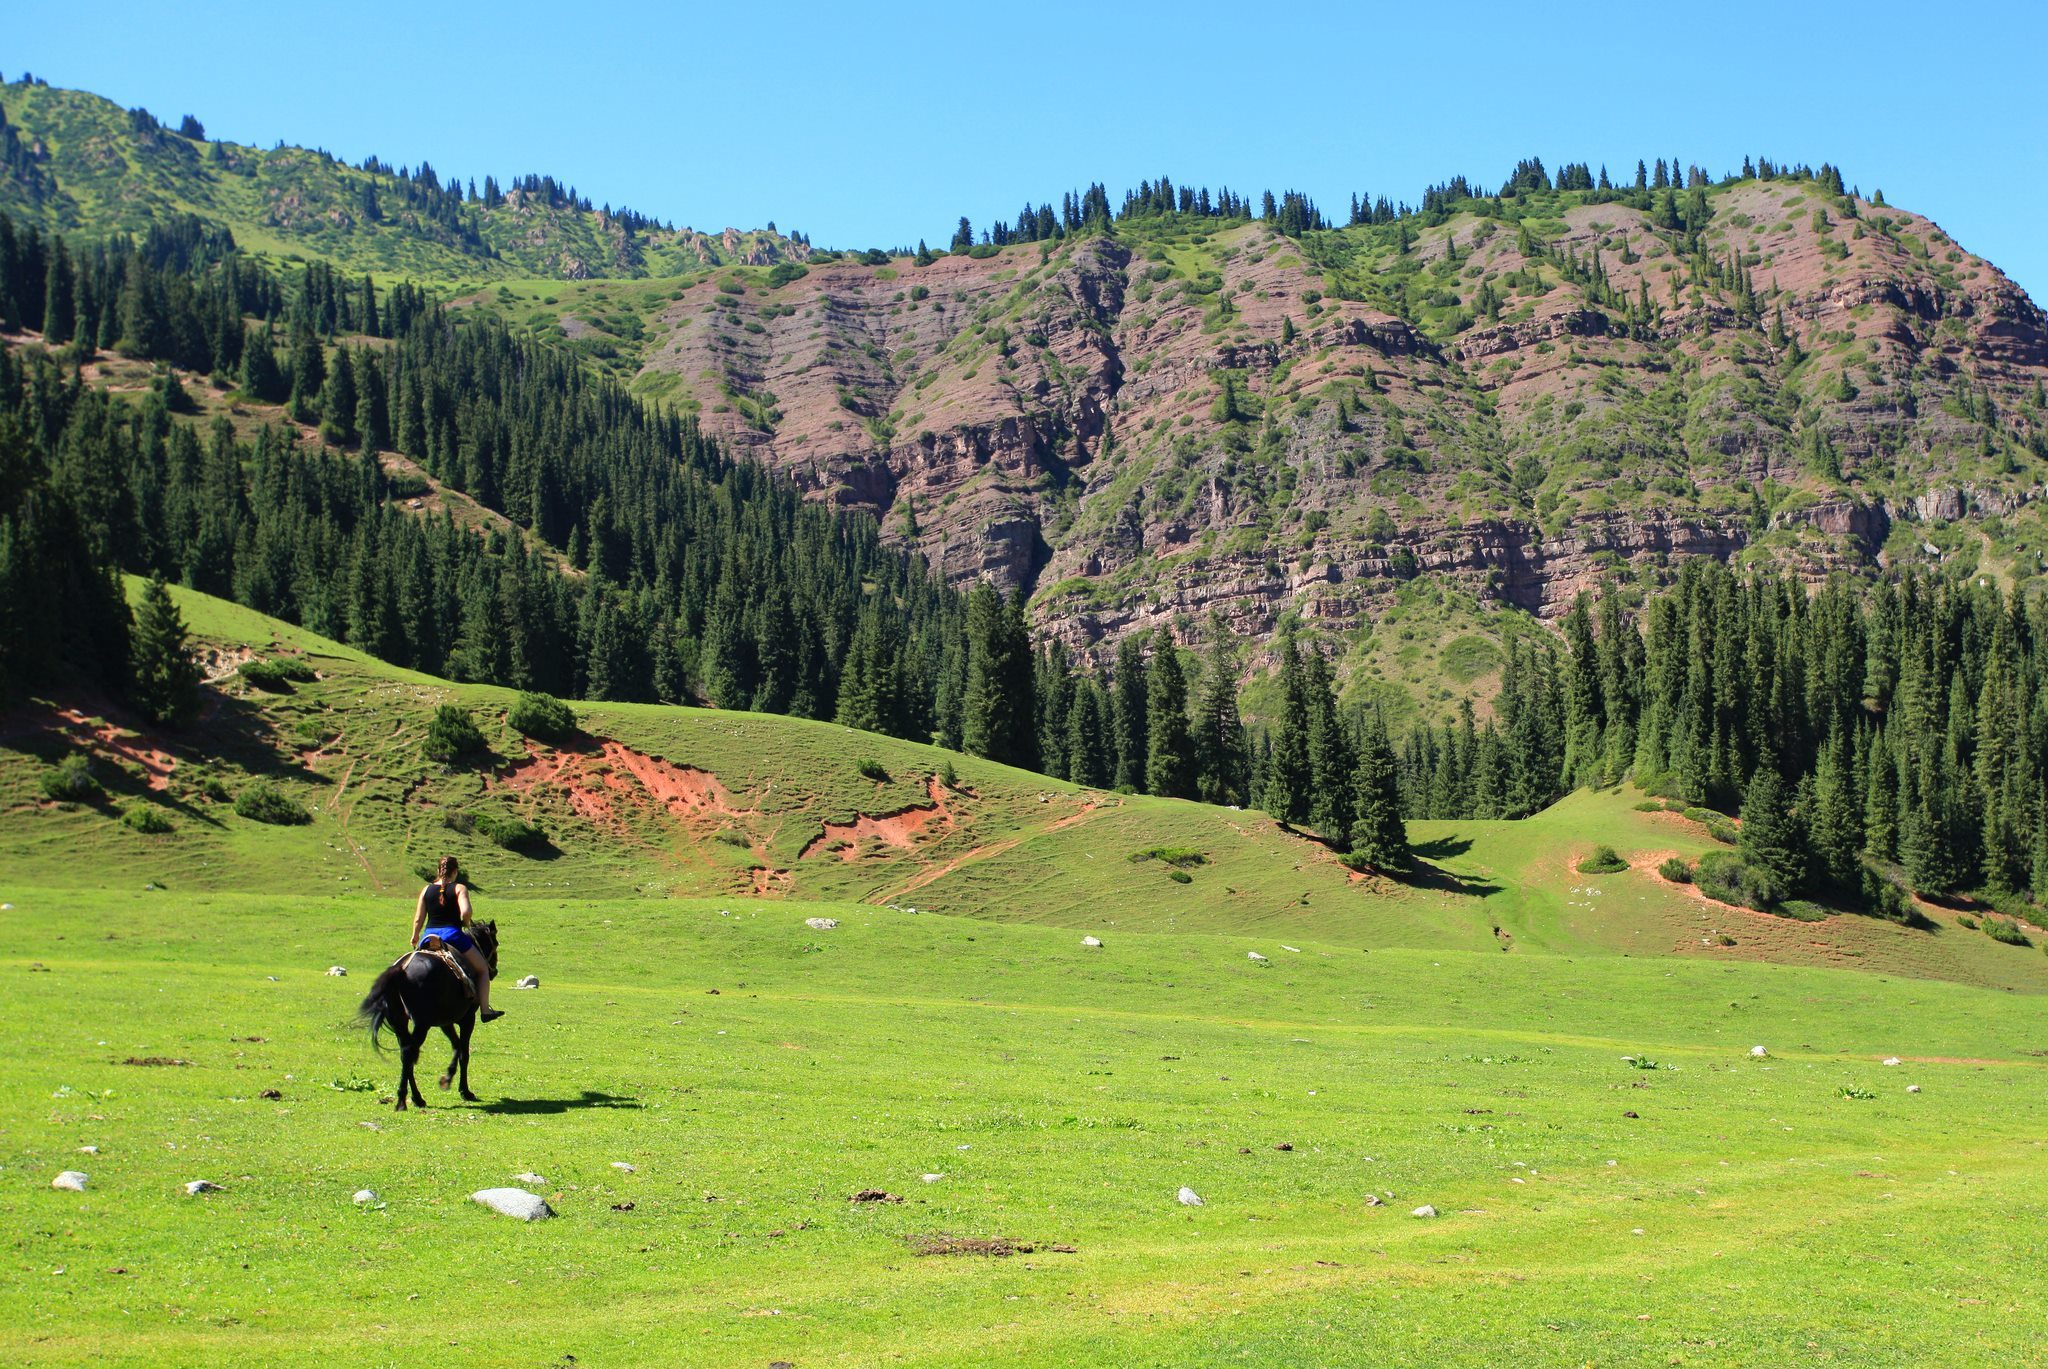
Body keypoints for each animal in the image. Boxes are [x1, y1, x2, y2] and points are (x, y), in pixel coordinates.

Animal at [352, 918, 495, 1114]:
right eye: (495, 943)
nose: (494, 972)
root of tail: (401, 968)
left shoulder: (445, 1022)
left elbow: (456, 1046)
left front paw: (447, 1079)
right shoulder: (467, 1019)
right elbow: (464, 1053)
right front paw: (464, 1091)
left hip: (400, 1023)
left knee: (406, 1054)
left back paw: (415, 1098)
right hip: (422, 1024)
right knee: (410, 1053)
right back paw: (403, 1100)